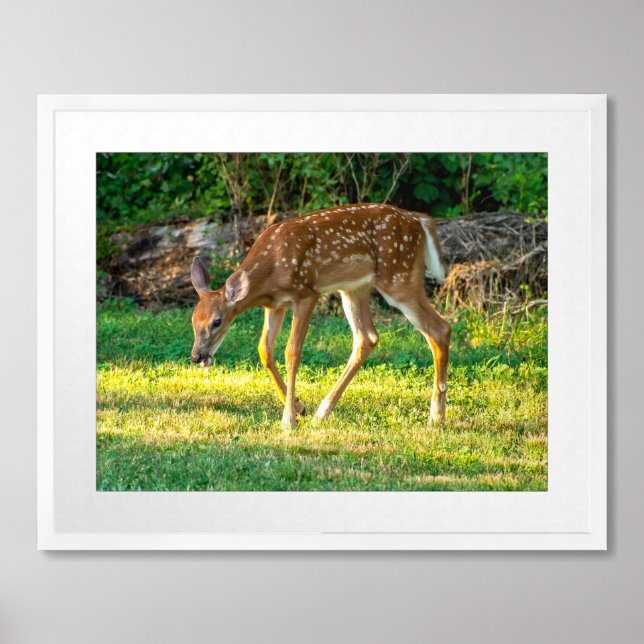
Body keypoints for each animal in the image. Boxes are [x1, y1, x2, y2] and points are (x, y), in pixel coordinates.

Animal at [190, 203, 451, 428]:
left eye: (217, 321)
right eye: (193, 321)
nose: (196, 356)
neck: (270, 271)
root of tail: (419, 220)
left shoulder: (306, 294)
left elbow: (292, 352)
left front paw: (288, 420)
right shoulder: (275, 305)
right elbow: (264, 350)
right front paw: (299, 407)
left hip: (398, 278)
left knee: (440, 328)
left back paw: (436, 416)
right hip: (354, 288)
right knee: (367, 337)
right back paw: (322, 412)